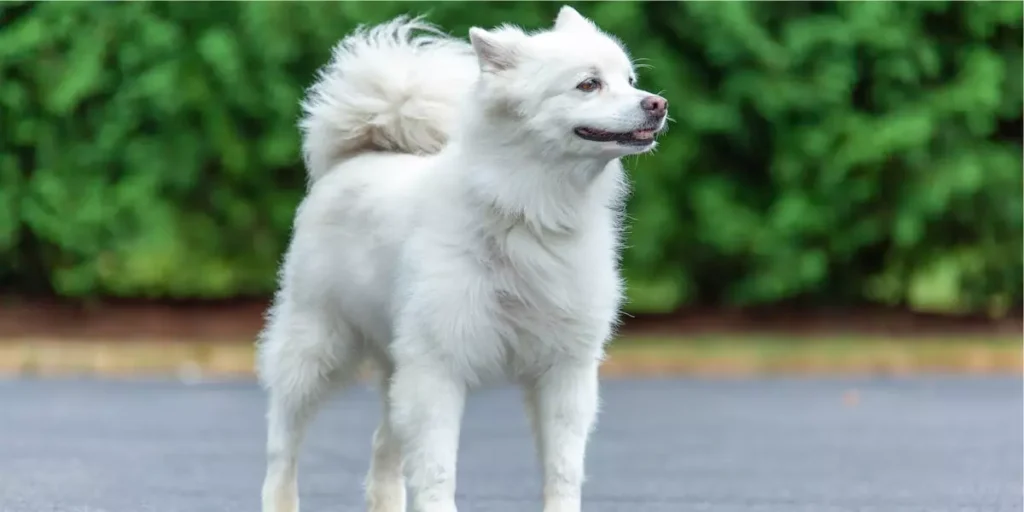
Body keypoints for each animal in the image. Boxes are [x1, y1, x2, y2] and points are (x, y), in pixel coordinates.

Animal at [260, 4, 667, 512]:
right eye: (588, 84)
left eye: (630, 80)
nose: (658, 103)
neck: (528, 211)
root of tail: (359, 155)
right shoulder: (437, 367)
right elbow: (436, 471)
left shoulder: (565, 370)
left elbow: (564, 469)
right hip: (317, 346)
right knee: (283, 442)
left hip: (395, 362)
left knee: (383, 446)